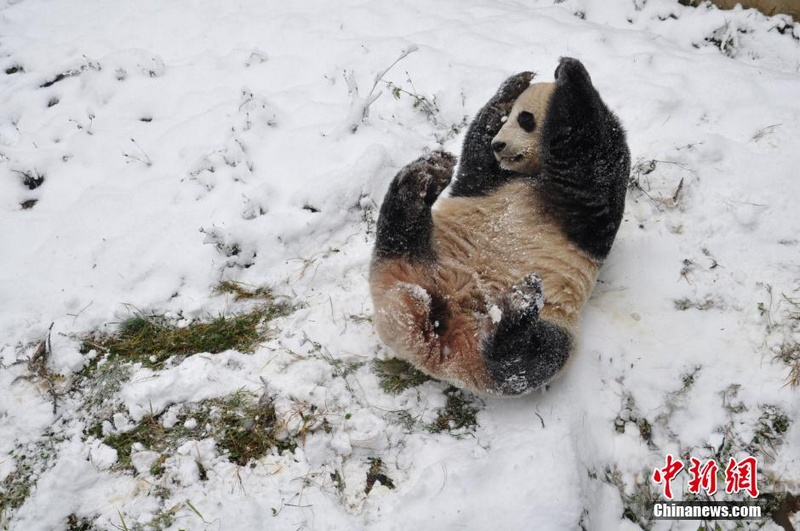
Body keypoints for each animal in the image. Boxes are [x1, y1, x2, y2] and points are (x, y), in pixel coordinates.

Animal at [370, 59, 632, 400]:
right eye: (510, 119)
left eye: (525, 120)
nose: (500, 144)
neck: (530, 175)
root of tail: (431, 333)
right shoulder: (488, 182)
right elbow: (477, 149)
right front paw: (515, 85)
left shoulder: (588, 208)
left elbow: (595, 159)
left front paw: (569, 74)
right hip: (424, 256)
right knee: (398, 231)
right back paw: (422, 177)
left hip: (555, 323)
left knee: (531, 359)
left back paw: (517, 309)